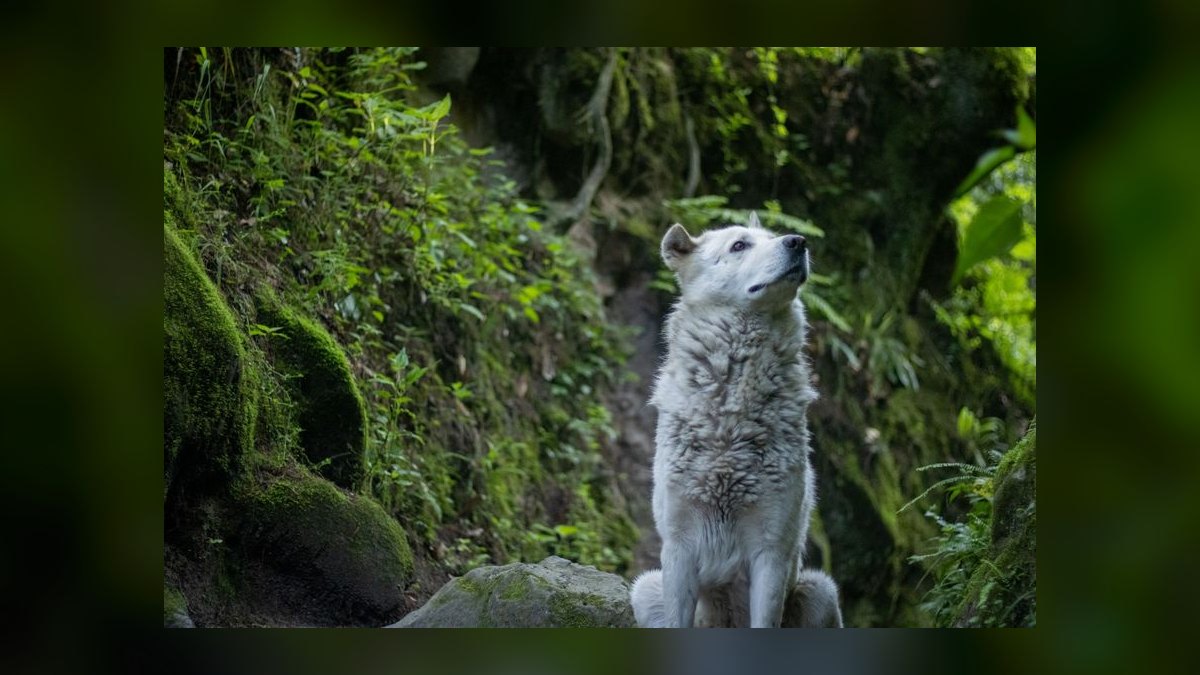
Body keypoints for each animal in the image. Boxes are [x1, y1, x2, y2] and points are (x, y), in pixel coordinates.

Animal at [630, 213, 843, 628]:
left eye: (774, 237)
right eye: (739, 245)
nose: (798, 241)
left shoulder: (771, 552)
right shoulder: (678, 548)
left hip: (820, 591)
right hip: (645, 589)